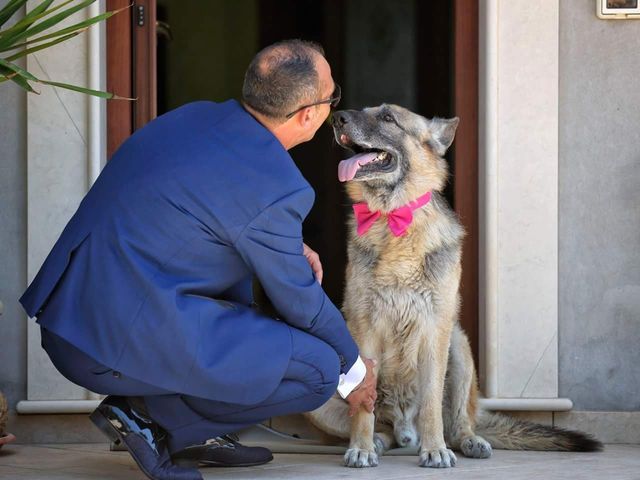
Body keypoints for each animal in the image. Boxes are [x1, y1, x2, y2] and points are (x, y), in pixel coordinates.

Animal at [302, 103, 604, 466]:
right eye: (363, 111)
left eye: (388, 118)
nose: (337, 118)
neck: (395, 221)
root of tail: (405, 426)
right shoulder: (365, 330)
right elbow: (363, 407)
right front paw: (360, 447)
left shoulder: (436, 331)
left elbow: (432, 404)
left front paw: (435, 450)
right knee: (383, 426)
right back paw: (377, 440)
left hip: (459, 347)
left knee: (459, 423)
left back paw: (466, 441)